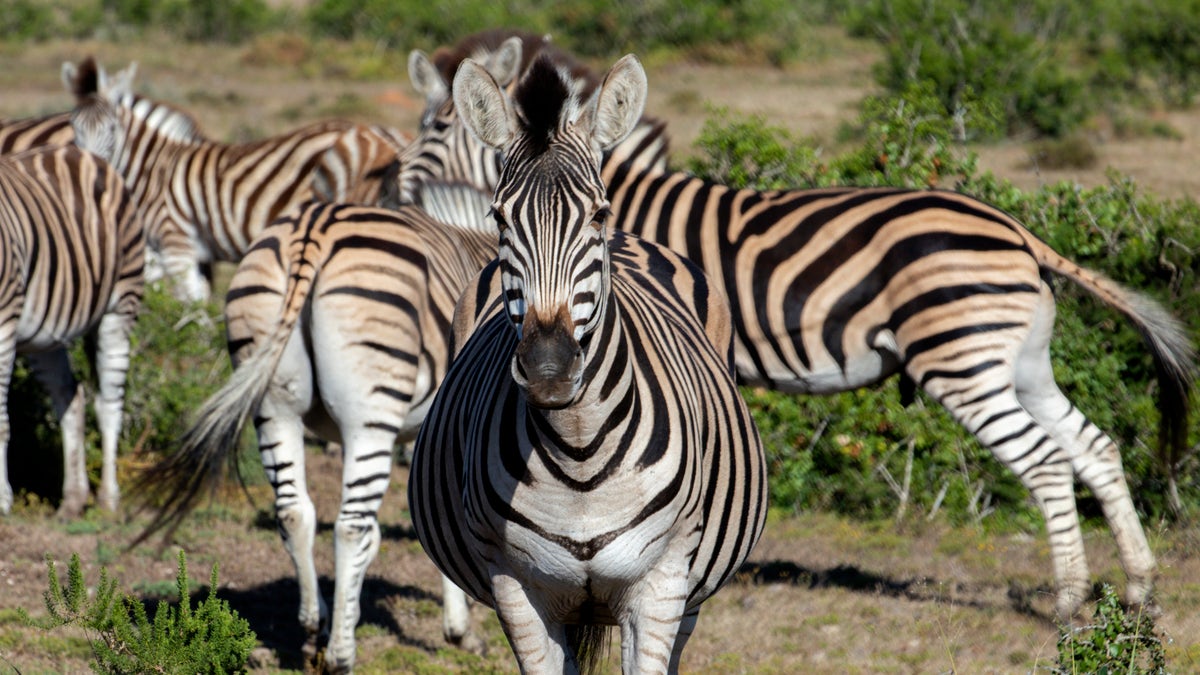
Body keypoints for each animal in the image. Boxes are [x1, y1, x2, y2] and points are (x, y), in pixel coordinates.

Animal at [0, 141, 144, 514]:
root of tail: (78, 151)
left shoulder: (4, 323)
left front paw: (2, 500)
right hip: (42, 334)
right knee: (70, 396)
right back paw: (74, 499)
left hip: (119, 306)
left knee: (109, 404)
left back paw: (108, 498)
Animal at [65, 56, 403, 303]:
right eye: (74, 126)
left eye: (111, 129)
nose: (91, 168)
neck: (153, 167)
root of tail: (385, 134)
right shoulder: (194, 253)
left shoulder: (175, 243)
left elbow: (189, 304)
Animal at [133, 181, 499, 667]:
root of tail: (312, 232)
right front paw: (460, 631)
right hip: (370, 412)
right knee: (349, 525)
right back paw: (341, 654)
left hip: (274, 404)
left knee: (295, 512)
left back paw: (313, 632)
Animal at [410, 53, 768, 672]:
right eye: (499, 220)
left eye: (597, 215)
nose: (549, 370)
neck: (578, 455)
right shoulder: (516, 589)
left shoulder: (662, 584)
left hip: (691, 590)